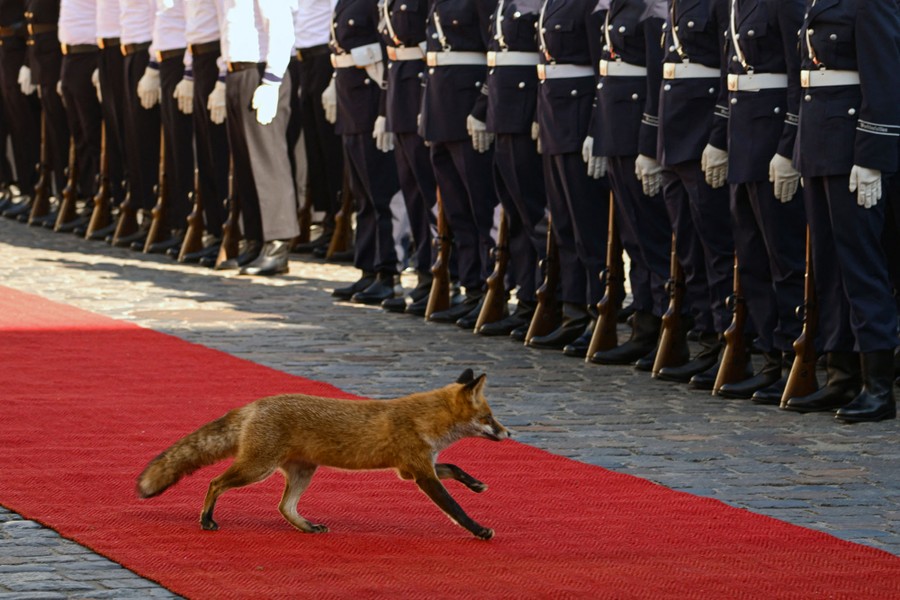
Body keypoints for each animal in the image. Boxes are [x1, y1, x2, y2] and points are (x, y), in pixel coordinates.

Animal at [136, 369, 509, 539]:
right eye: (489, 418)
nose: (510, 433)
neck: (425, 419)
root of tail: (256, 404)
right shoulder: (420, 473)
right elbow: (455, 508)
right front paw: (479, 530)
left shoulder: (414, 468)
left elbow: (455, 467)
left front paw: (476, 484)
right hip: (257, 469)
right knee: (215, 482)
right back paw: (206, 520)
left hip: (301, 472)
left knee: (284, 507)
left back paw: (306, 526)